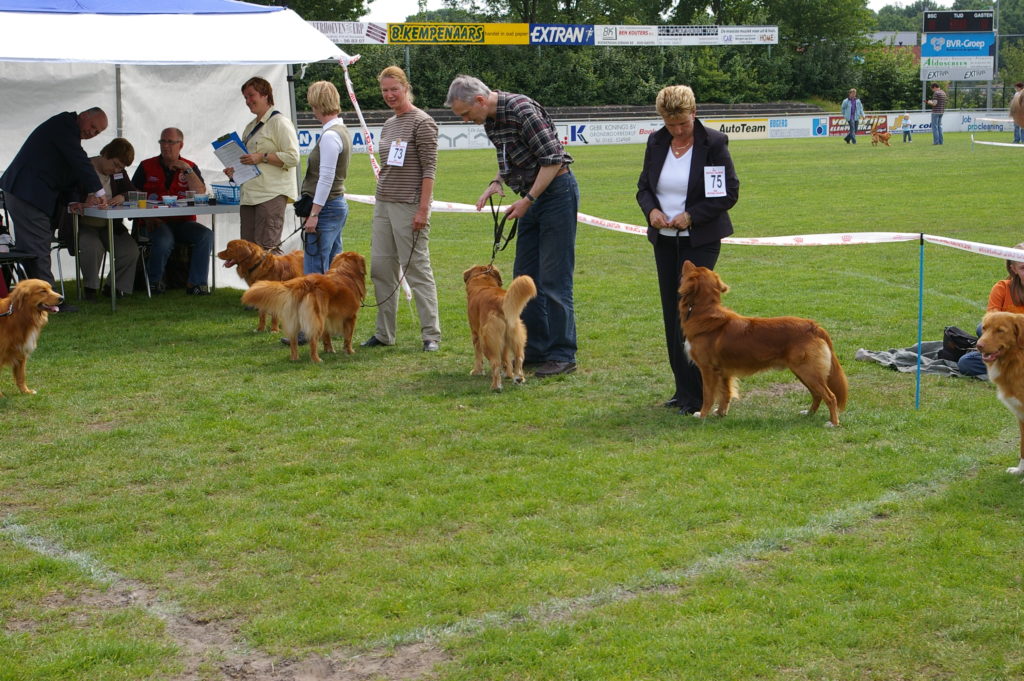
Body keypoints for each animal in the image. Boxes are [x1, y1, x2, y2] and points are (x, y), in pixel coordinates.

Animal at [239, 251, 368, 364]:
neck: (346, 272)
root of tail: (303, 283)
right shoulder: (350, 317)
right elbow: (348, 337)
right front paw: (350, 351)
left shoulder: (327, 318)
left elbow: (327, 337)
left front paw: (329, 350)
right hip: (316, 320)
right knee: (313, 341)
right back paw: (316, 359)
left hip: (297, 318)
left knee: (293, 340)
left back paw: (294, 358)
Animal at [679, 260, 847, 426]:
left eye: (694, 268)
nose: (687, 260)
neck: (704, 311)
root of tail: (814, 326)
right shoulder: (724, 370)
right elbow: (725, 394)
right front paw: (721, 413)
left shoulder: (707, 368)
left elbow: (708, 395)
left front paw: (702, 415)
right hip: (802, 371)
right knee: (817, 395)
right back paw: (809, 414)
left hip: (808, 370)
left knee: (830, 396)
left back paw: (833, 422)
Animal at [970, 311, 1024, 477]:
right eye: (984, 328)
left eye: (1000, 330)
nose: (978, 346)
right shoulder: (1020, 416)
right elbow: (1022, 448)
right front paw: (1019, 470)